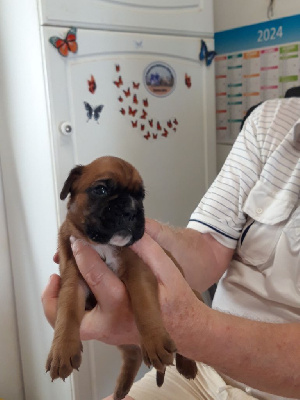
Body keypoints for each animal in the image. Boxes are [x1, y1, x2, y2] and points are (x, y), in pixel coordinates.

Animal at [45, 155, 198, 400]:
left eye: (140, 196)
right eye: (101, 189)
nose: (132, 210)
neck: (101, 244)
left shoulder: (139, 270)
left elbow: (144, 304)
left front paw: (155, 341)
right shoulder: (73, 278)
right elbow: (67, 311)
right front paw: (61, 351)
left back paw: (187, 365)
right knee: (133, 354)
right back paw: (121, 389)